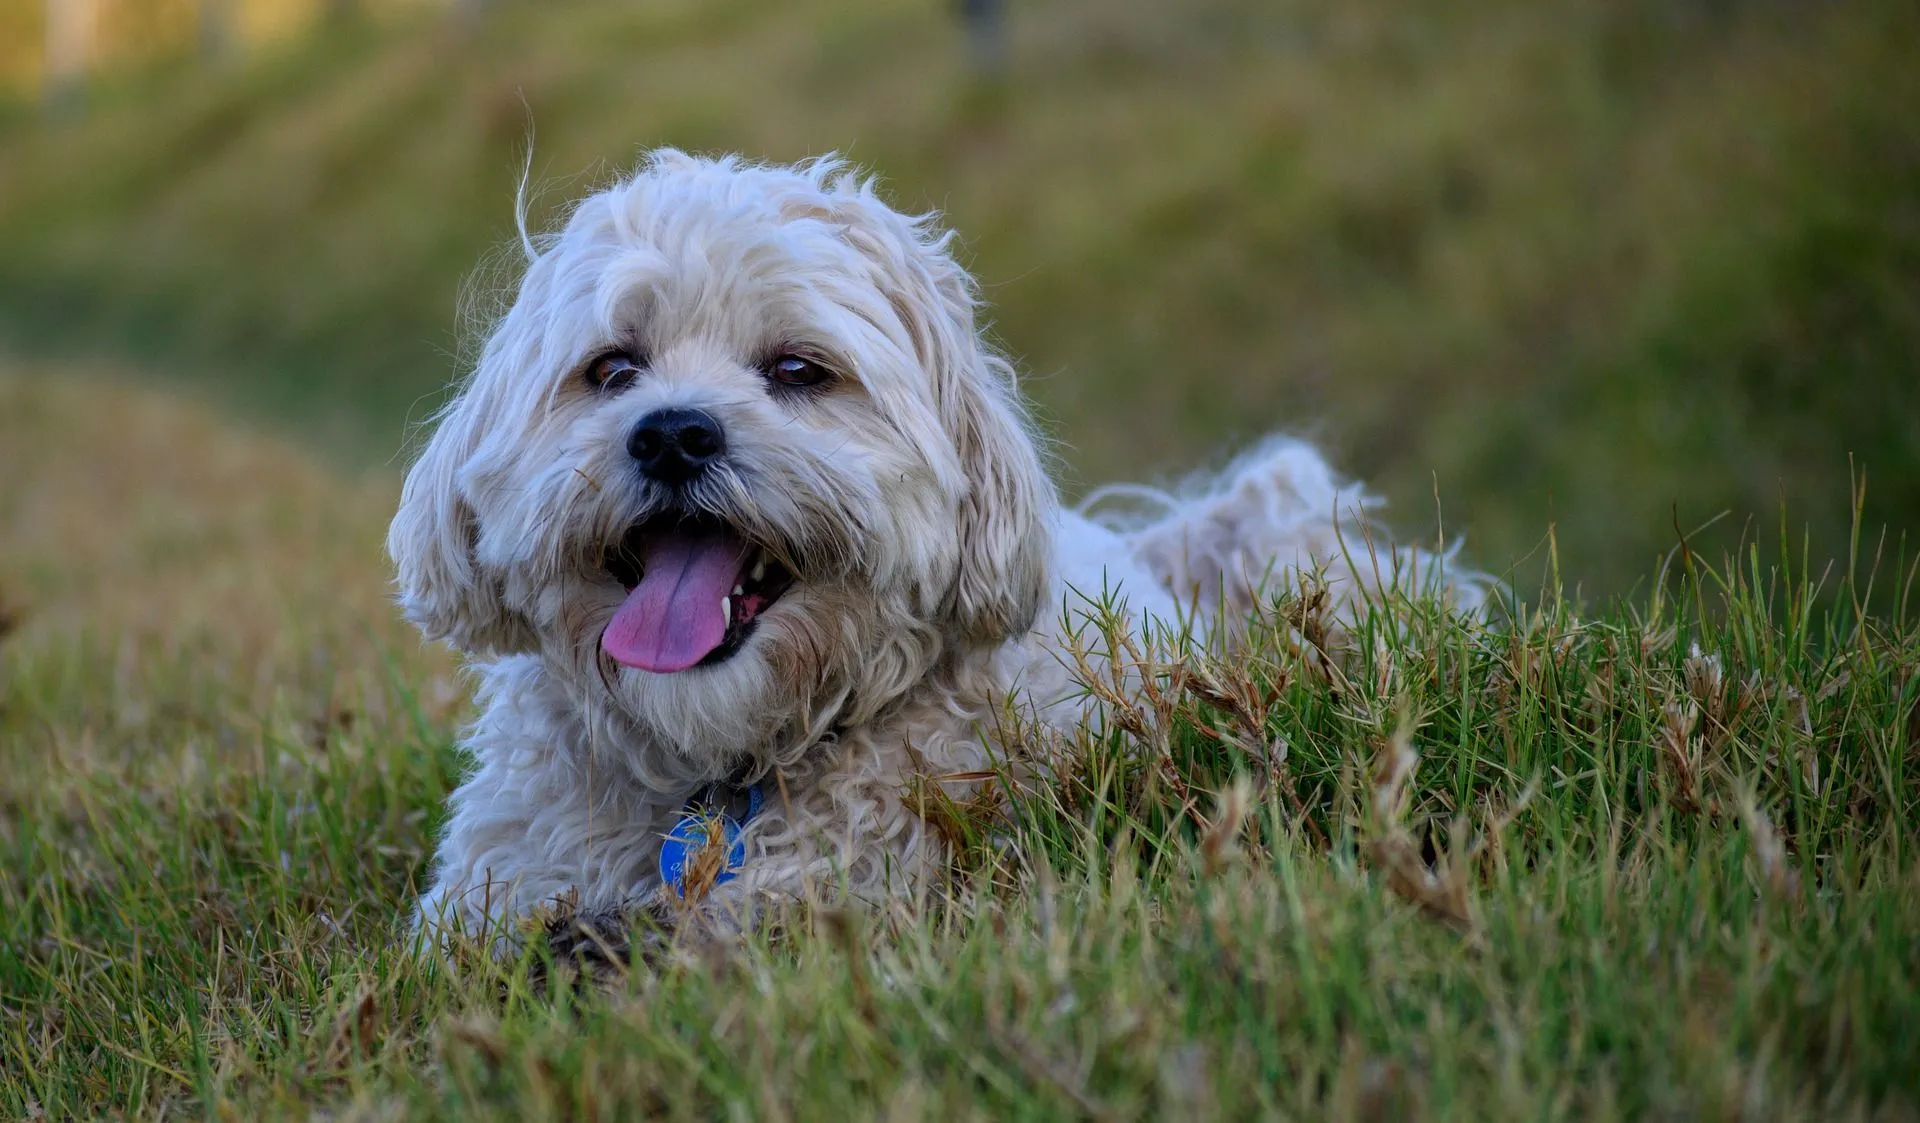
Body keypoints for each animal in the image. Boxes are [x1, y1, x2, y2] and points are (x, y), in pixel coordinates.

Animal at [385, 146, 1466, 955]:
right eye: (612, 368)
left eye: (797, 370)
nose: (673, 435)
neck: (721, 771)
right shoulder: (498, 881)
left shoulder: (867, 869)